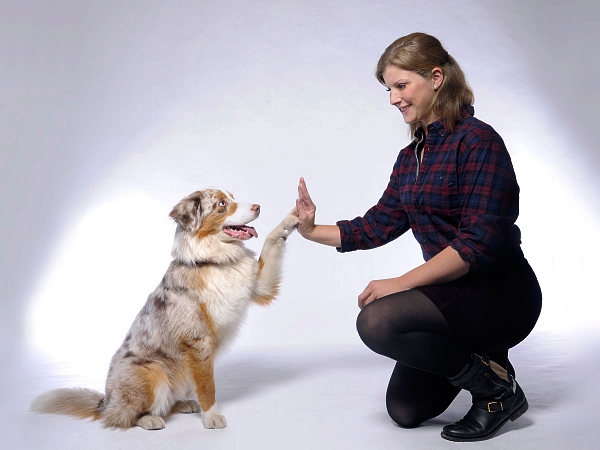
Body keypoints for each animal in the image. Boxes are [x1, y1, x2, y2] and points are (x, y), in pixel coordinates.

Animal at [30, 188, 298, 430]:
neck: (215, 261)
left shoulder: (259, 286)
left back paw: (183, 404)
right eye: (222, 203)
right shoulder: (198, 340)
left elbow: (271, 240)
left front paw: (293, 216)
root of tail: (105, 402)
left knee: (163, 404)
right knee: (122, 417)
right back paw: (149, 420)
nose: (258, 207)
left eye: (232, 197)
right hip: (152, 371)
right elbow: (208, 386)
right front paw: (211, 417)